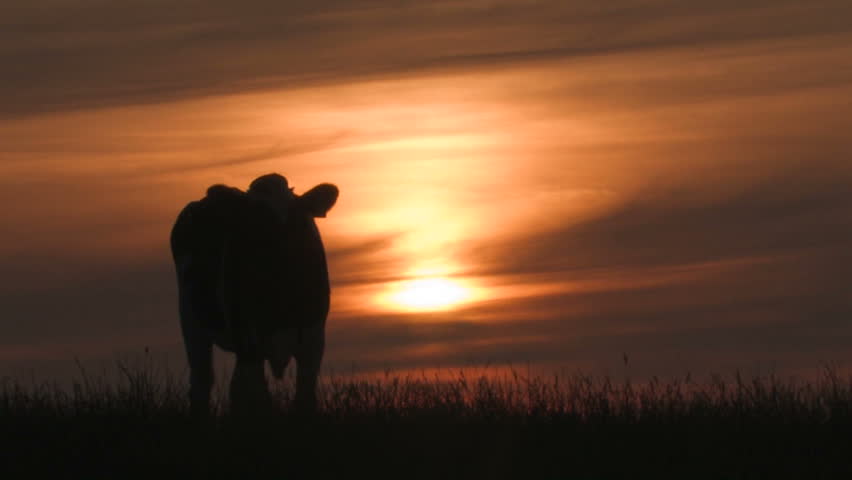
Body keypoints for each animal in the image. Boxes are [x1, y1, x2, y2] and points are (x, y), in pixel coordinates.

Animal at [168, 174, 338, 414]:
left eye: (296, 220)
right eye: (252, 220)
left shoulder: (312, 340)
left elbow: (304, 398)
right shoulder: (249, 340)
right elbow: (256, 397)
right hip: (192, 322)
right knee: (203, 381)